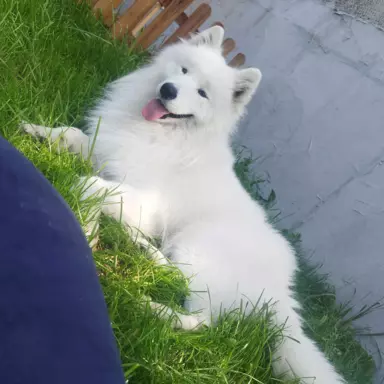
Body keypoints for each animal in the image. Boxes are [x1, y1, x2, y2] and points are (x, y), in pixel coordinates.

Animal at [25, 25, 346, 382]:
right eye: (183, 70)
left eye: (202, 93)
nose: (168, 89)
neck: (165, 133)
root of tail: (282, 292)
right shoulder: (104, 157)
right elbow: (69, 135)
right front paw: (36, 130)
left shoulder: (145, 202)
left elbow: (86, 185)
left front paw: (87, 228)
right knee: (176, 277)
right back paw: (140, 249)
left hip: (198, 246)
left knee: (202, 321)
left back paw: (146, 303)